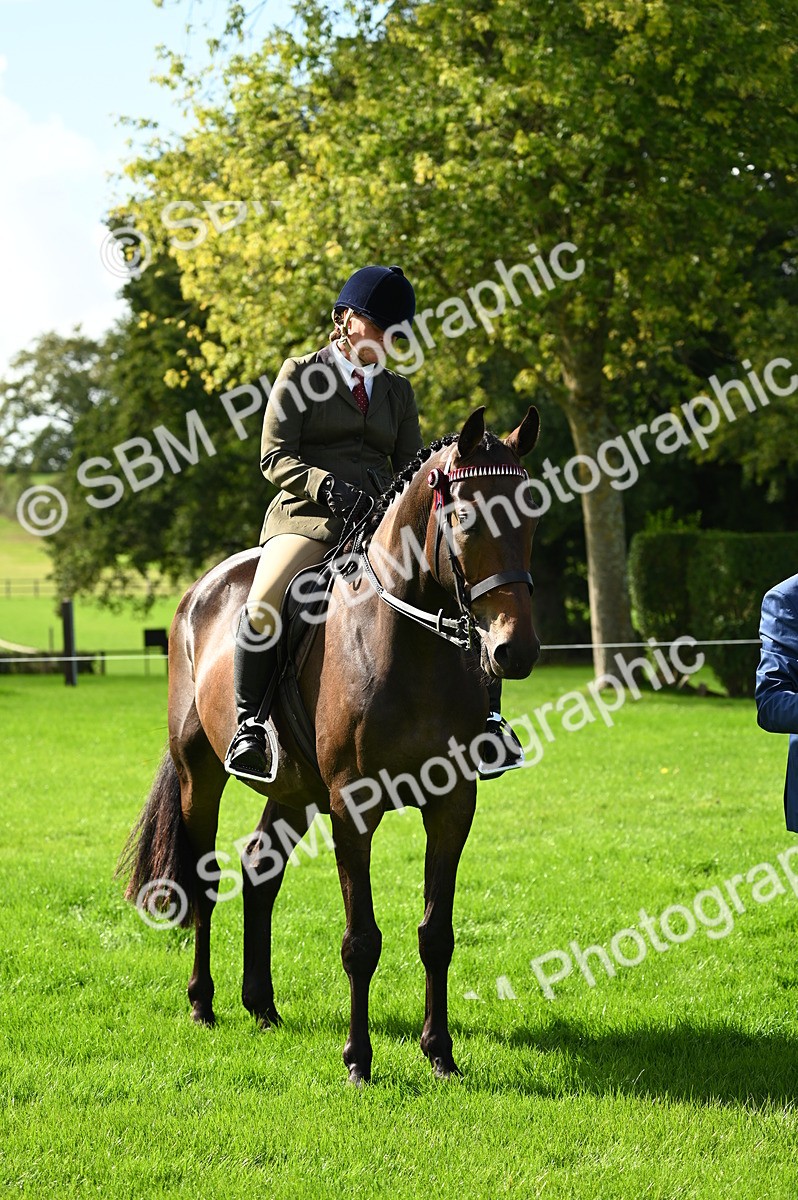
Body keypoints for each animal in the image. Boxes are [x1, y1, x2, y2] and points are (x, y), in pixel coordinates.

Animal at [121, 404, 541, 1083]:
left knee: (260, 870)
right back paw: (203, 1004)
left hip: (294, 790)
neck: (411, 644)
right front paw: (358, 1061)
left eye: (532, 514)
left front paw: (440, 1054)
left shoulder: (453, 804)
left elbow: (437, 934)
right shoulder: (353, 805)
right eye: (464, 518)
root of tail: (201, 590)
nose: (515, 650)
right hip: (199, 775)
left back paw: (261, 1006)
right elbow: (361, 941)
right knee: (206, 878)